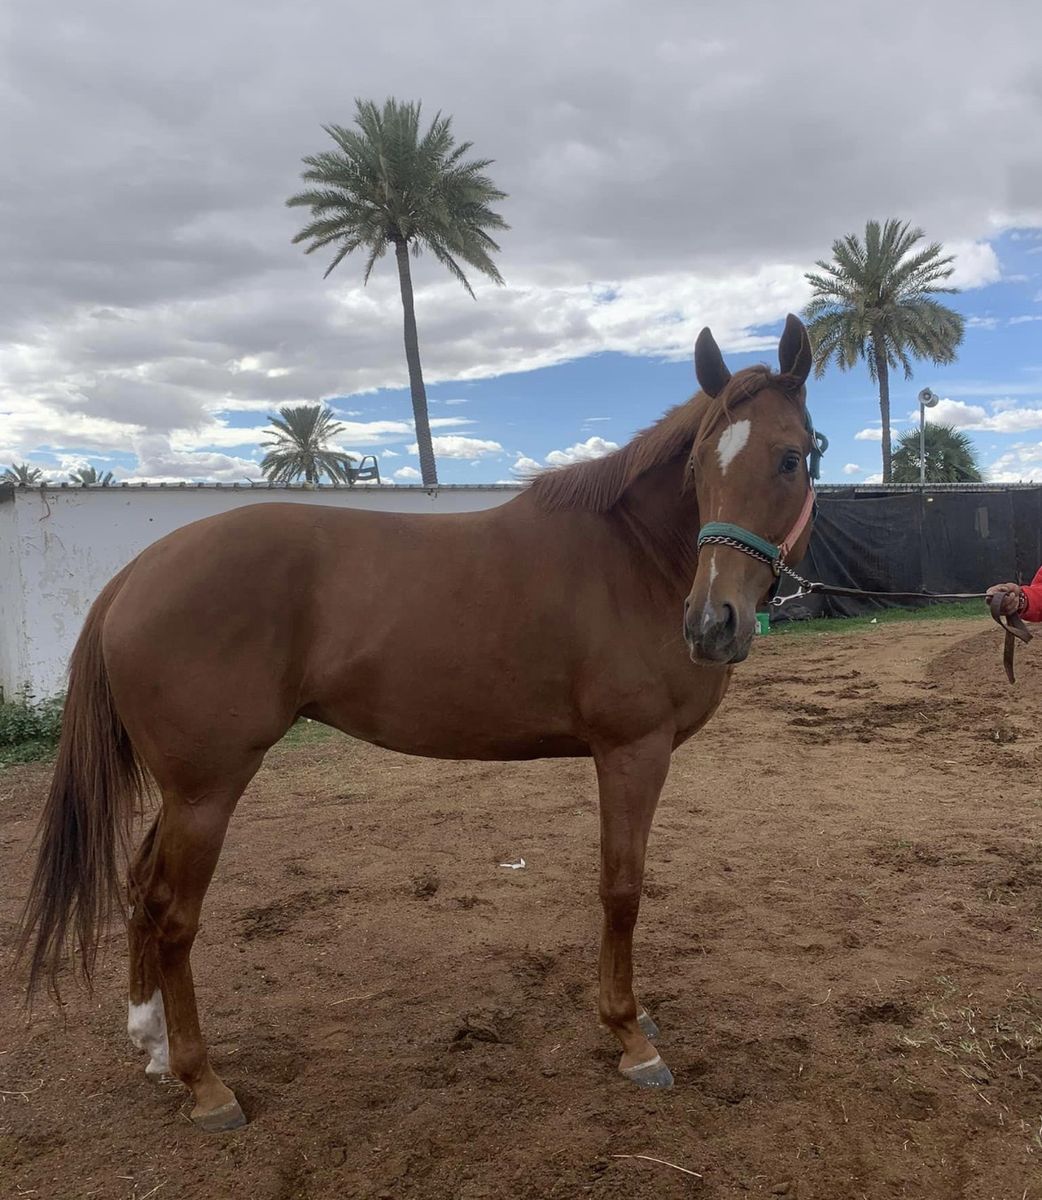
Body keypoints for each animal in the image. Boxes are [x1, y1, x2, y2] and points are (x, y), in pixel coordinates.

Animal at [19, 314, 819, 1132]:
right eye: (699, 468)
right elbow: (621, 889)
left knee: (140, 890)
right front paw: (630, 1035)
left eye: (791, 457)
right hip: (207, 790)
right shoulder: (632, 751)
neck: (633, 555)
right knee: (172, 914)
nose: (712, 623)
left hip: (185, 790)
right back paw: (204, 1083)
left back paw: (151, 1044)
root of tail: (137, 572)